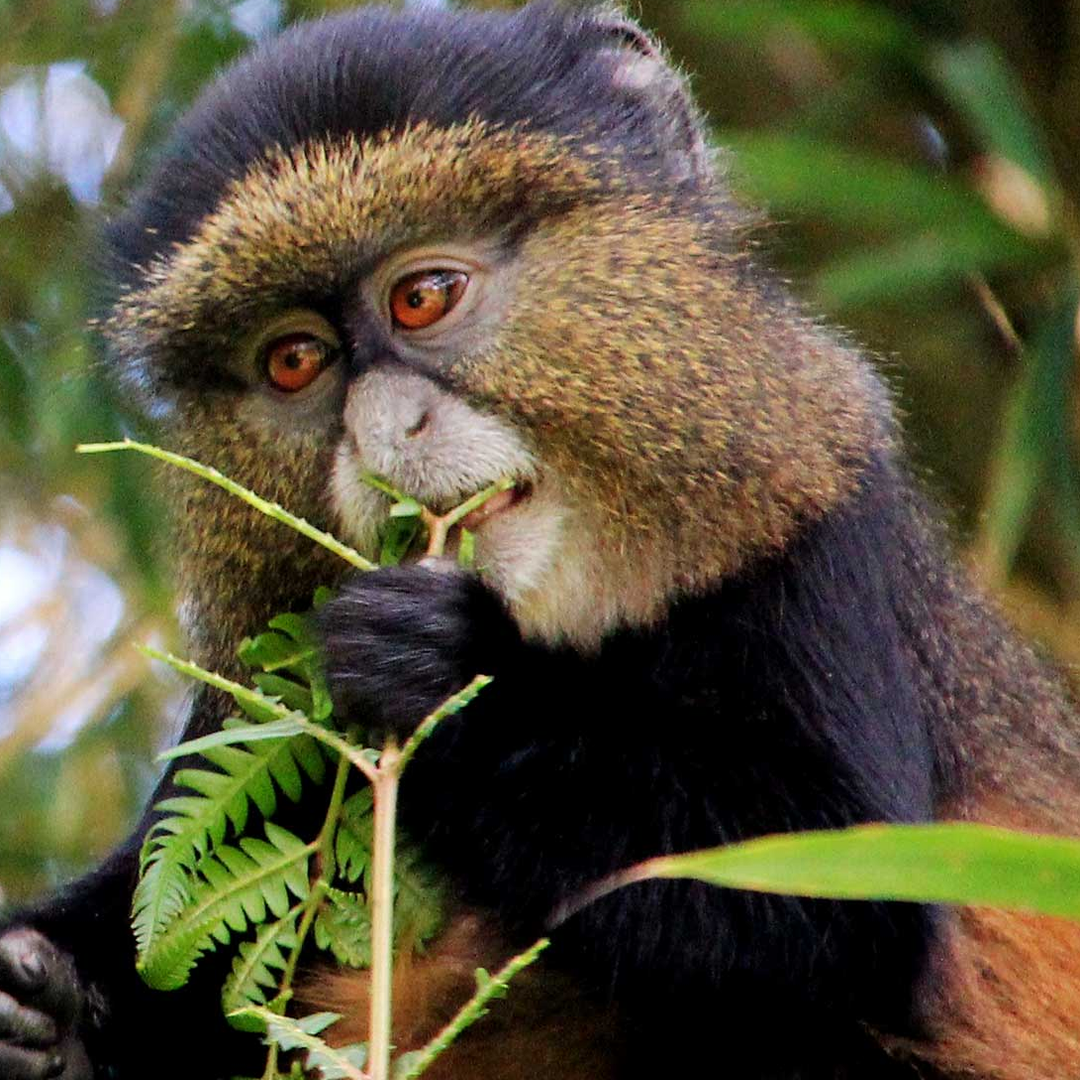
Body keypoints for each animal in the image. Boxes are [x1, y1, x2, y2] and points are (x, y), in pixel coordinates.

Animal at [2, 2, 1080, 1078]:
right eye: (295, 360)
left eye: (423, 297)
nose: (386, 433)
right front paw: (42, 1011)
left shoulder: (818, 524)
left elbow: (839, 898)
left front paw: (442, 663)